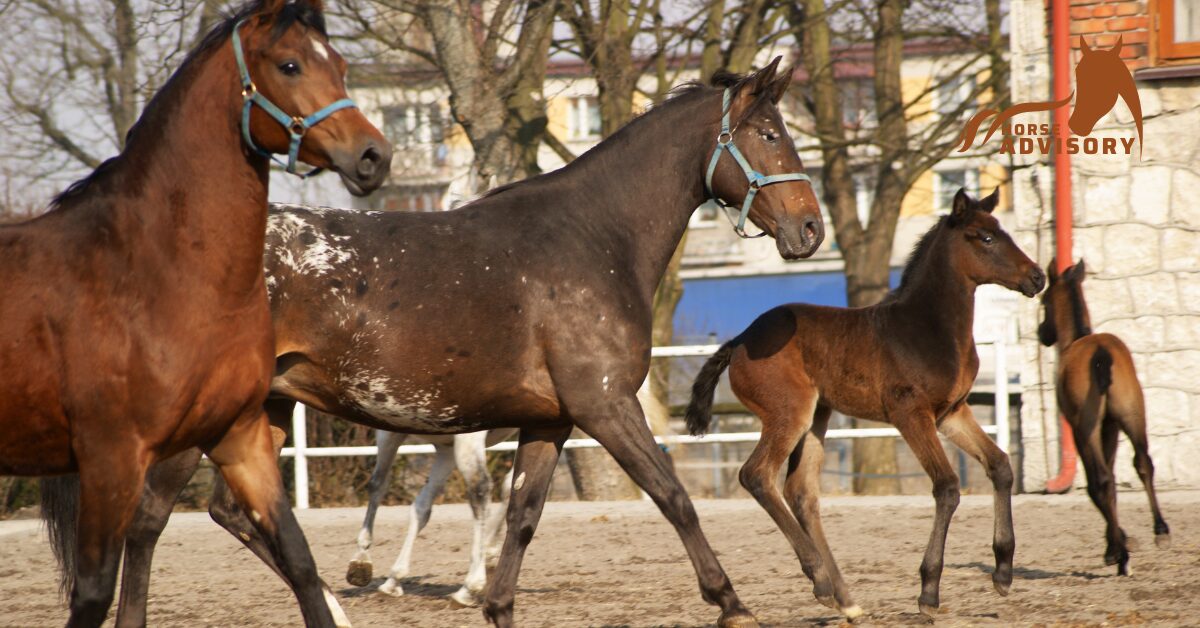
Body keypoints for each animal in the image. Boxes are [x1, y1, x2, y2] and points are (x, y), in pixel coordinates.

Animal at [46, 60, 825, 628]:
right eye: (768, 134)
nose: (811, 229)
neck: (593, 238)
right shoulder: (604, 407)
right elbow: (673, 497)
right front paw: (741, 601)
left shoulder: (552, 421)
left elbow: (522, 518)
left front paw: (495, 606)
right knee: (149, 524)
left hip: (263, 410)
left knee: (234, 515)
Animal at [686, 189, 1051, 619]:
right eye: (986, 238)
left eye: (1003, 232)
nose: (1037, 277)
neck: (927, 328)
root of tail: (741, 338)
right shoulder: (910, 414)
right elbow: (946, 486)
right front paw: (929, 591)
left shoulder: (952, 413)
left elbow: (1000, 465)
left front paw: (1004, 571)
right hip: (788, 414)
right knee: (756, 475)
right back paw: (820, 579)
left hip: (817, 417)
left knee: (801, 492)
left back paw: (844, 598)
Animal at [1036, 259, 1166, 573]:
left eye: (1045, 302)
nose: (1041, 333)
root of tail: (1101, 353)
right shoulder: (1111, 428)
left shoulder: (1081, 429)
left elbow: (1099, 484)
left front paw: (1115, 547)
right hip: (1133, 417)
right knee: (1143, 463)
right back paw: (1160, 530)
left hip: (1087, 428)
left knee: (1101, 480)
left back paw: (1122, 556)